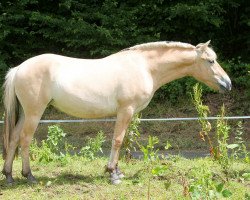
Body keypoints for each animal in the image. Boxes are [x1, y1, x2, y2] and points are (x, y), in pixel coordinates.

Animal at [2, 40, 232, 184]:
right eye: (211, 61)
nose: (227, 83)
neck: (144, 67)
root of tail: (19, 68)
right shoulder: (125, 111)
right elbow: (118, 140)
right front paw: (112, 174)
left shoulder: (130, 113)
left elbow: (122, 141)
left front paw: (117, 171)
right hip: (34, 113)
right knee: (25, 139)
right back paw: (29, 175)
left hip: (25, 113)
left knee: (13, 138)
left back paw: (9, 176)